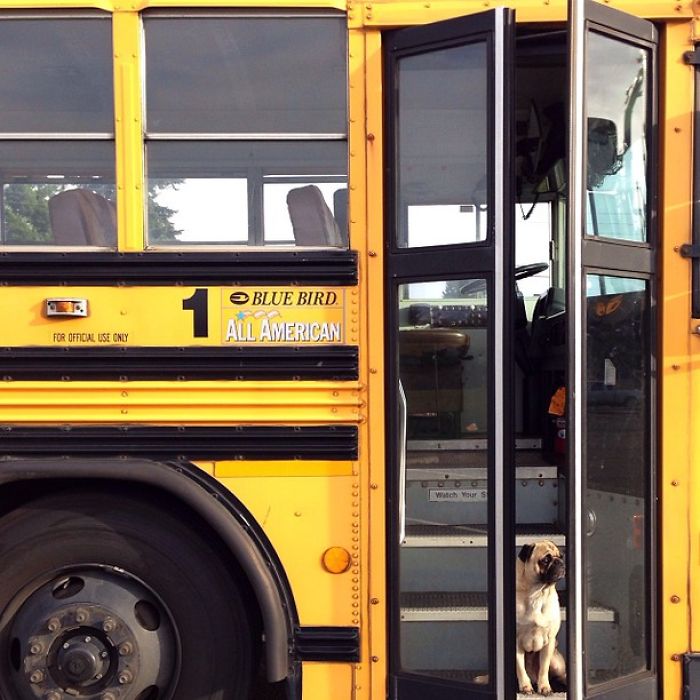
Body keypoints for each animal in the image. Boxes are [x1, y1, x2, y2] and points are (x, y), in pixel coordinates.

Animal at [516, 540, 568, 696]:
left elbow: (544, 668)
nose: (560, 562)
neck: (537, 594)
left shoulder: (549, 641)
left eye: (561, 556)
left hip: (556, 663)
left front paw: (544, 687)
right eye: (546, 560)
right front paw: (525, 687)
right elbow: (520, 668)